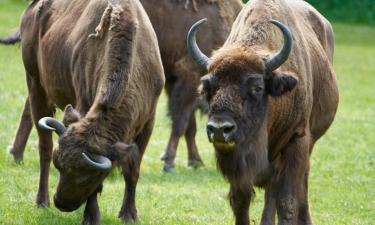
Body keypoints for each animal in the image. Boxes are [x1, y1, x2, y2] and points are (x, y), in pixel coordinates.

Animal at [14, 0, 164, 223]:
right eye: (60, 166)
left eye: (86, 177)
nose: (61, 203)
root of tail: (32, 8)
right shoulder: (83, 102)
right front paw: (91, 216)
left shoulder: (148, 122)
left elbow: (133, 170)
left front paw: (129, 214)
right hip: (35, 85)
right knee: (44, 147)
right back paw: (42, 201)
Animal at [140, 0, 242, 171]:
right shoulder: (189, 77)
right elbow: (180, 122)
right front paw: (169, 163)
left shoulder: (176, 83)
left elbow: (190, 127)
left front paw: (195, 162)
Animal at [188, 0, 340, 225]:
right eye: (208, 87)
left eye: (257, 87)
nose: (219, 129)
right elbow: (241, 200)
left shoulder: (297, 139)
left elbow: (287, 200)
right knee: (272, 191)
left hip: (308, 143)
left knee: (300, 184)